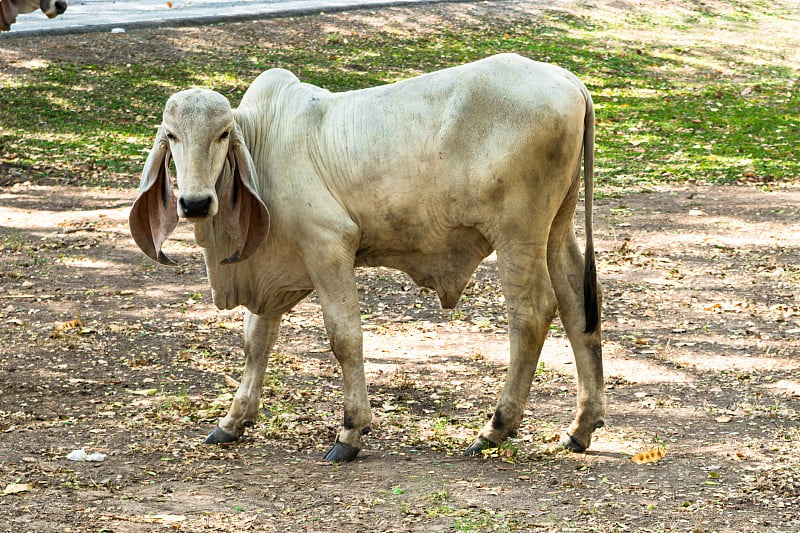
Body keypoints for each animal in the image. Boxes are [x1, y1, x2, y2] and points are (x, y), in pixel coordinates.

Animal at [131, 54, 604, 462]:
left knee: (532, 313)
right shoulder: (270, 265)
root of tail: (567, 79)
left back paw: (496, 428)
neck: (265, 144)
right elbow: (256, 342)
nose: (194, 203)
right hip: (556, 229)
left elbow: (345, 339)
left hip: (517, 235)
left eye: (223, 135)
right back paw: (581, 427)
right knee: (577, 305)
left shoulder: (328, 248)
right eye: (171, 136)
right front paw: (233, 420)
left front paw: (351, 432)